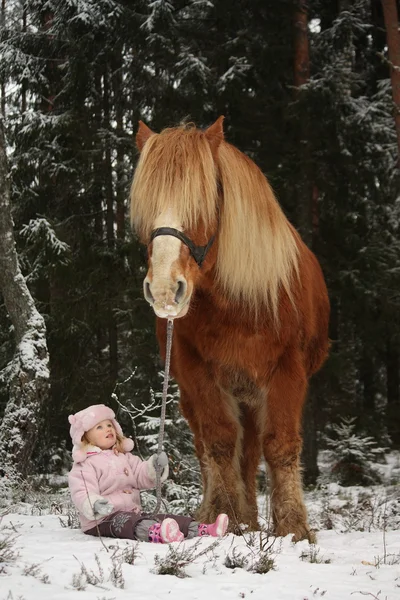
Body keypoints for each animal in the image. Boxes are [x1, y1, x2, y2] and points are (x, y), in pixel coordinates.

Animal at [130, 116, 330, 540]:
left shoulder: (287, 373)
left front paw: (293, 528)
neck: (242, 305)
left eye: (205, 201)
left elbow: (280, 446)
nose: (164, 289)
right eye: (147, 207)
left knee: (253, 450)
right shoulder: (198, 372)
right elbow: (219, 442)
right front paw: (225, 515)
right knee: (212, 447)